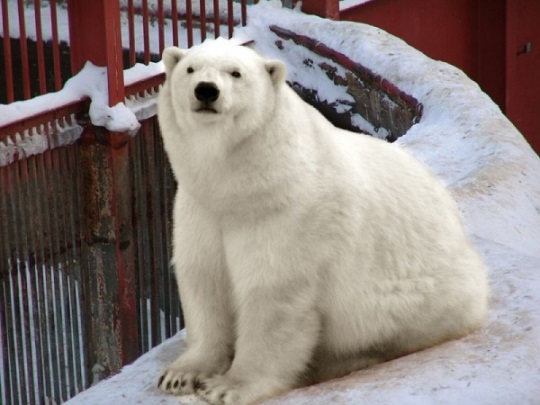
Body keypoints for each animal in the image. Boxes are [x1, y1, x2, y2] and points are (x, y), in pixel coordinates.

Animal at [156, 38, 490, 404]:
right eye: (190, 69)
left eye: (236, 72)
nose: (206, 90)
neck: (243, 184)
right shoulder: (201, 208)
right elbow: (205, 280)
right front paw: (181, 374)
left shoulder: (287, 215)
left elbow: (272, 295)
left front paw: (228, 387)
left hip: (420, 295)